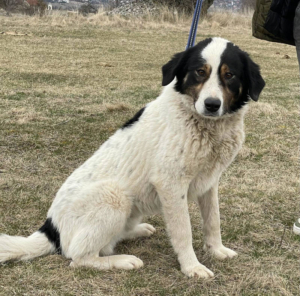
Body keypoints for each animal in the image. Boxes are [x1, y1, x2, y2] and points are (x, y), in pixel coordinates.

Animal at [0, 36, 264, 278]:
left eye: (229, 75)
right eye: (200, 72)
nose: (211, 104)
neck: (201, 124)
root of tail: (51, 228)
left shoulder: (209, 182)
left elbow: (213, 221)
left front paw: (216, 250)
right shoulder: (171, 185)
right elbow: (184, 231)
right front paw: (191, 267)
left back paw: (138, 230)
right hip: (114, 196)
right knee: (79, 257)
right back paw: (122, 260)